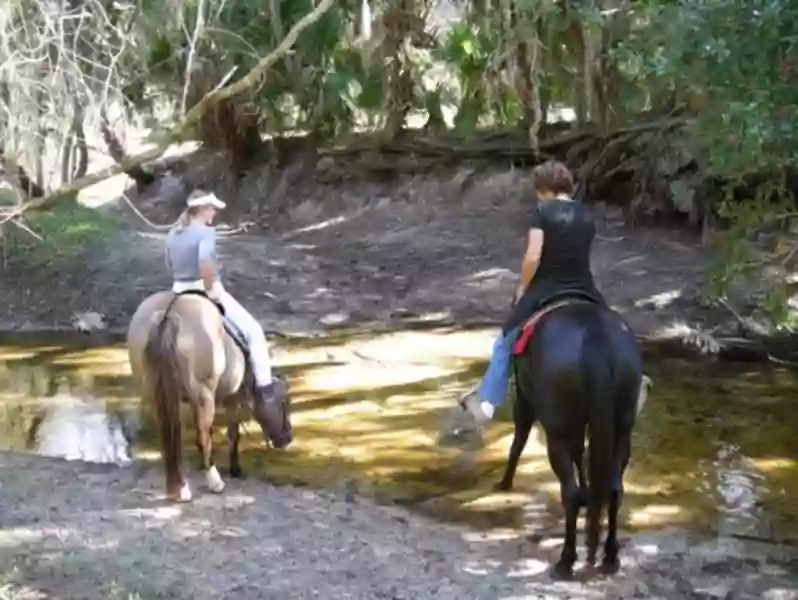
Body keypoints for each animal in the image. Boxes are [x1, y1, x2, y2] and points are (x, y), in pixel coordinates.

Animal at [123, 290, 290, 502]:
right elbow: (231, 434)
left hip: (156, 395)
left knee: (171, 433)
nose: (287, 438)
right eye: (284, 402)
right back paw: (214, 482)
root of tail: (167, 314)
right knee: (203, 436)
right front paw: (235, 469)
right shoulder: (232, 398)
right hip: (204, 396)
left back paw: (179, 487)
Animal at [500, 302, 644, 580]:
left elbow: (518, 440)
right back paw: (610, 556)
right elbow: (582, 456)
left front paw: (505, 482)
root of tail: (594, 338)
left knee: (570, 493)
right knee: (614, 489)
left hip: (557, 431)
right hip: (621, 428)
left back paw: (565, 561)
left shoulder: (524, 397)